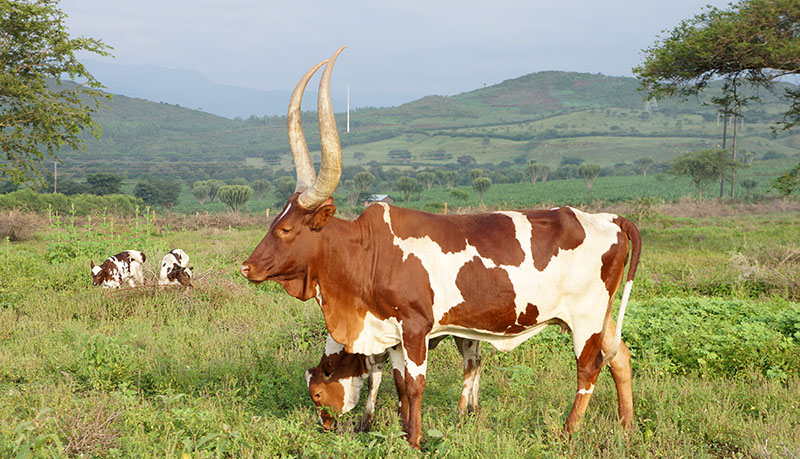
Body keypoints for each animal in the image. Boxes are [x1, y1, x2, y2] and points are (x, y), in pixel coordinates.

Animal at [306, 332, 482, 434]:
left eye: (317, 394)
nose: (325, 426)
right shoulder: (376, 355)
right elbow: (373, 383)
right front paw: (364, 424)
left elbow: (402, 382)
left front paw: (402, 422)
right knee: (478, 362)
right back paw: (473, 410)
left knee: (470, 366)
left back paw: (460, 415)